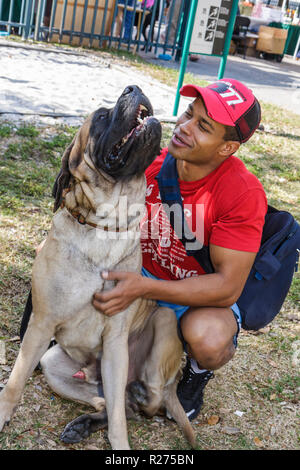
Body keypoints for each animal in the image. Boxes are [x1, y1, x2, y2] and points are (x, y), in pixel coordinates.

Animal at [0, 86, 195, 450]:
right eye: (103, 116)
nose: (133, 87)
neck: (107, 222)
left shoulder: (115, 342)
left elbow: (119, 420)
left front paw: (120, 446)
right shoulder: (41, 324)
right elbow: (16, 379)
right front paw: (3, 411)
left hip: (160, 324)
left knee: (144, 402)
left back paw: (134, 394)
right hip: (53, 364)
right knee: (114, 402)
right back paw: (83, 424)